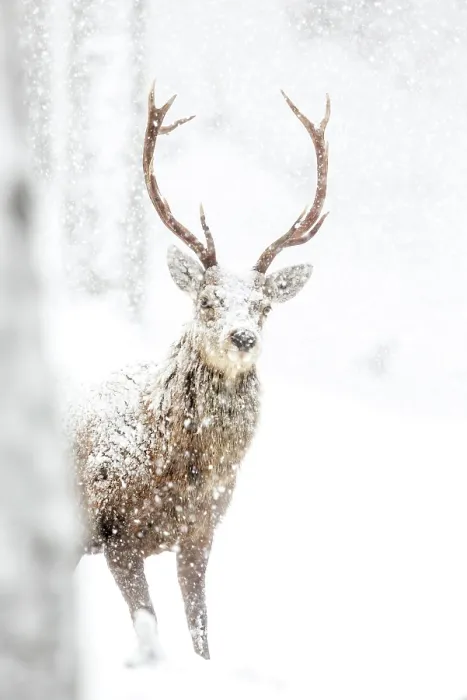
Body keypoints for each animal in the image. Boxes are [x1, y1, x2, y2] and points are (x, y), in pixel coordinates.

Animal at [72, 81, 331, 664]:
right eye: (208, 301)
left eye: (264, 306)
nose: (244, 337)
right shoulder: (115, 530)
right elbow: (149, 625)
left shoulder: (199, 534)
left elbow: (200, 634)